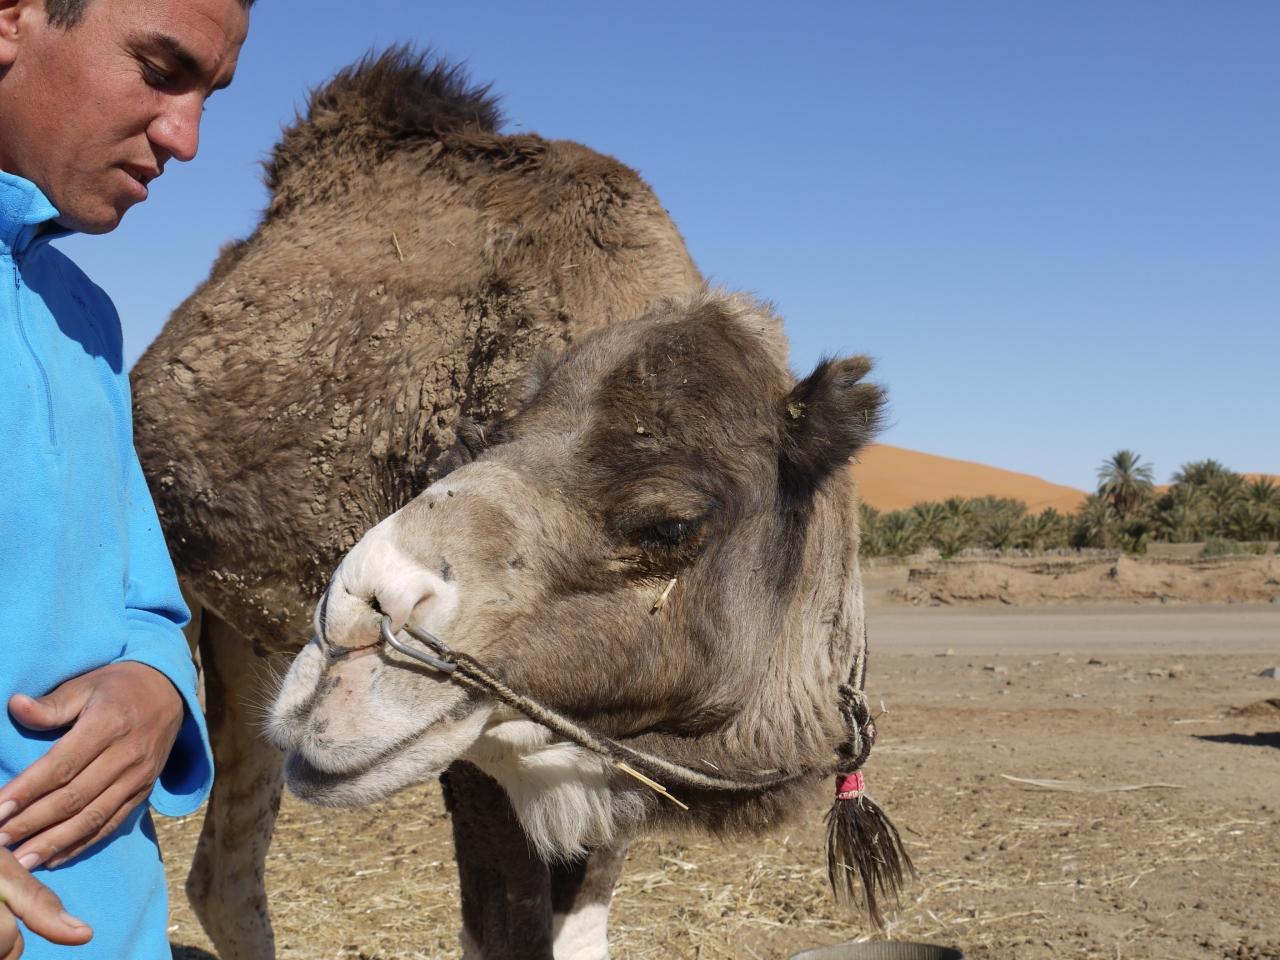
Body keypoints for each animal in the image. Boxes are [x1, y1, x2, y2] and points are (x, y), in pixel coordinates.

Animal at [132, 50, 904, 960]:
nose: (349, 627)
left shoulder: (606, 757)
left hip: (245, 637)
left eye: (670, 523)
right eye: (475, 446)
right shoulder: (482, 756)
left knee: (222, 871)